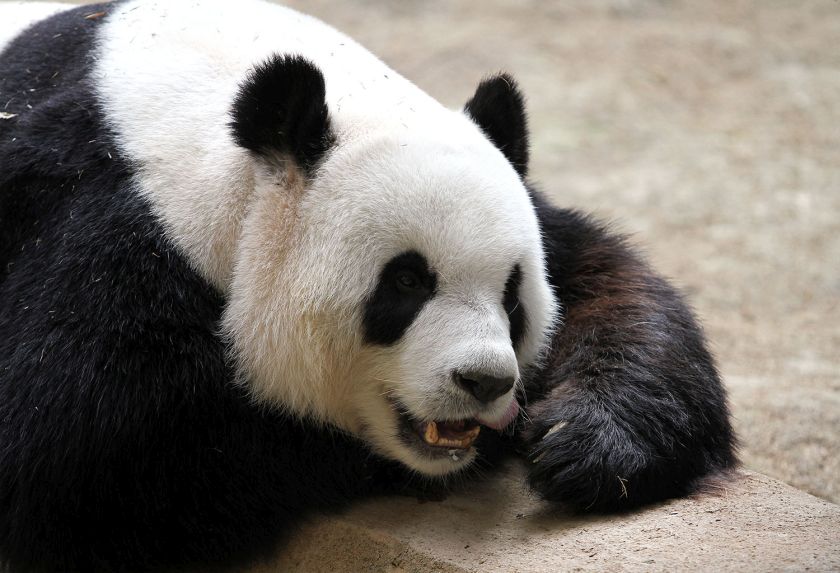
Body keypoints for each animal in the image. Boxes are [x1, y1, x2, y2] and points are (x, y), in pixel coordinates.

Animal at [0, 1, 736, 571]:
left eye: (512, 295)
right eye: (405, 281)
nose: (486, 381)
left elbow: (617, 289)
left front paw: (583, 442)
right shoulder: (104, 225)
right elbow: (82, 464)